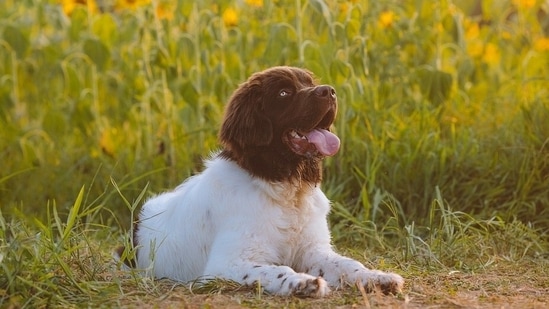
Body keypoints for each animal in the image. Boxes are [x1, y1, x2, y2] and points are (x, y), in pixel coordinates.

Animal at [117, 65, 402, 296]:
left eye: (309, 82)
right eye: (284, 94)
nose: (330, 91)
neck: (286, 187)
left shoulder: (314, 250)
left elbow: (347, 263)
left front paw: (376, 277)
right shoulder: (226, 264)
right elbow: (277, 270)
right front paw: (303, 283)